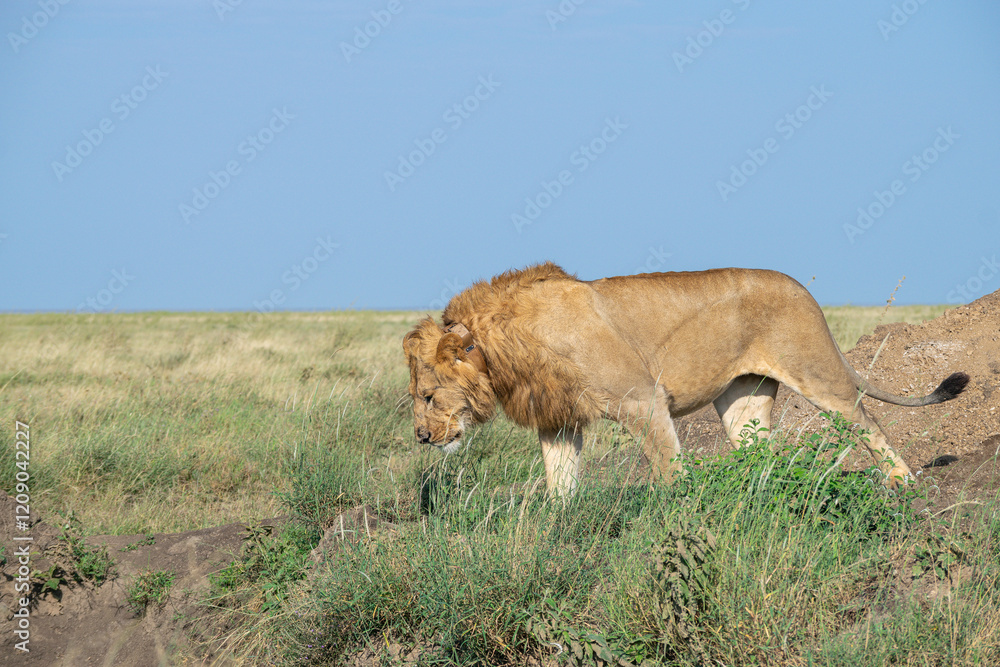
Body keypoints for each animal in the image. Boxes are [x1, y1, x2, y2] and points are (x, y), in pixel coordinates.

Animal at [402, 263, 969, 496]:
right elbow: (558, 481)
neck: (503, 351)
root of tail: (803, 290)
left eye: (427, 395)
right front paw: (556, 529)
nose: (422, 437)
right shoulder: (558, 420)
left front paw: (677, 517)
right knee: (759, 453)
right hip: (743, 397)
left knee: (867, 421)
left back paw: (902, 484)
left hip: (817, 370)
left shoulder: (642, 399)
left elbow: (669, 468)